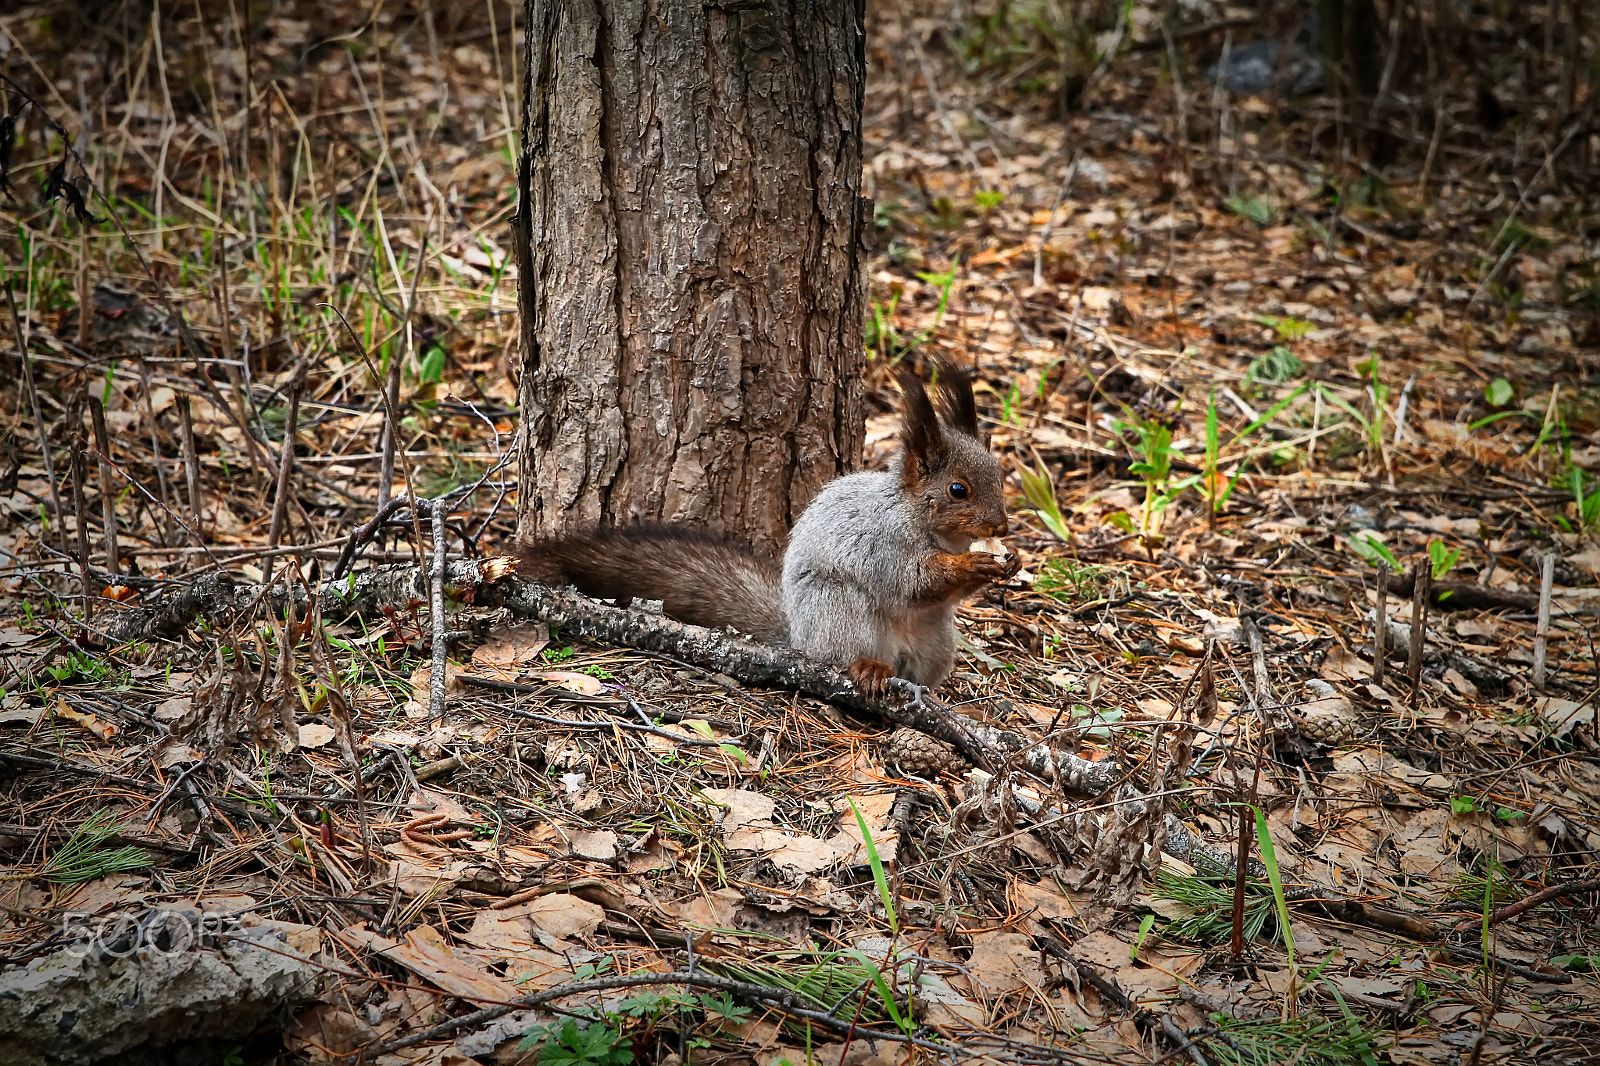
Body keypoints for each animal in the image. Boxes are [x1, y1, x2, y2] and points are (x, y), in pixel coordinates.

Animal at [512, 361, 1011, 697]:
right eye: (958, 489)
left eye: (1000, 473)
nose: (1002, 526)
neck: (931, 527)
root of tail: (799, 637)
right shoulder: (880, 542)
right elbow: (911, 581)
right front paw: (973, 563)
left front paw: (1006, 562)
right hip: (839, 611)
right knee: (841, 656)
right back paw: (867, 668)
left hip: (936, 642)